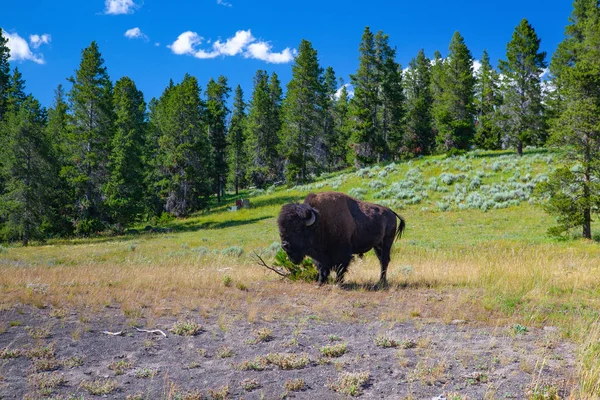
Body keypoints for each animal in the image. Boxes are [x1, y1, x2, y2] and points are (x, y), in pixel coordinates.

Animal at [278, 192, 406, 286]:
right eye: (281, 229)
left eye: (298, 228)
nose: (285, 245)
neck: (320, 222)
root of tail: (391, 212)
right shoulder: (319, 256)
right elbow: (322, 267)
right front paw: (320, 282)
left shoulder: (342, 252)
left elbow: (340, 267)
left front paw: (338, 282)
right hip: (377, 246)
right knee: (381, 261)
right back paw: (380, 281)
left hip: (387, 242)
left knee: (384, 260)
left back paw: (381, 282)